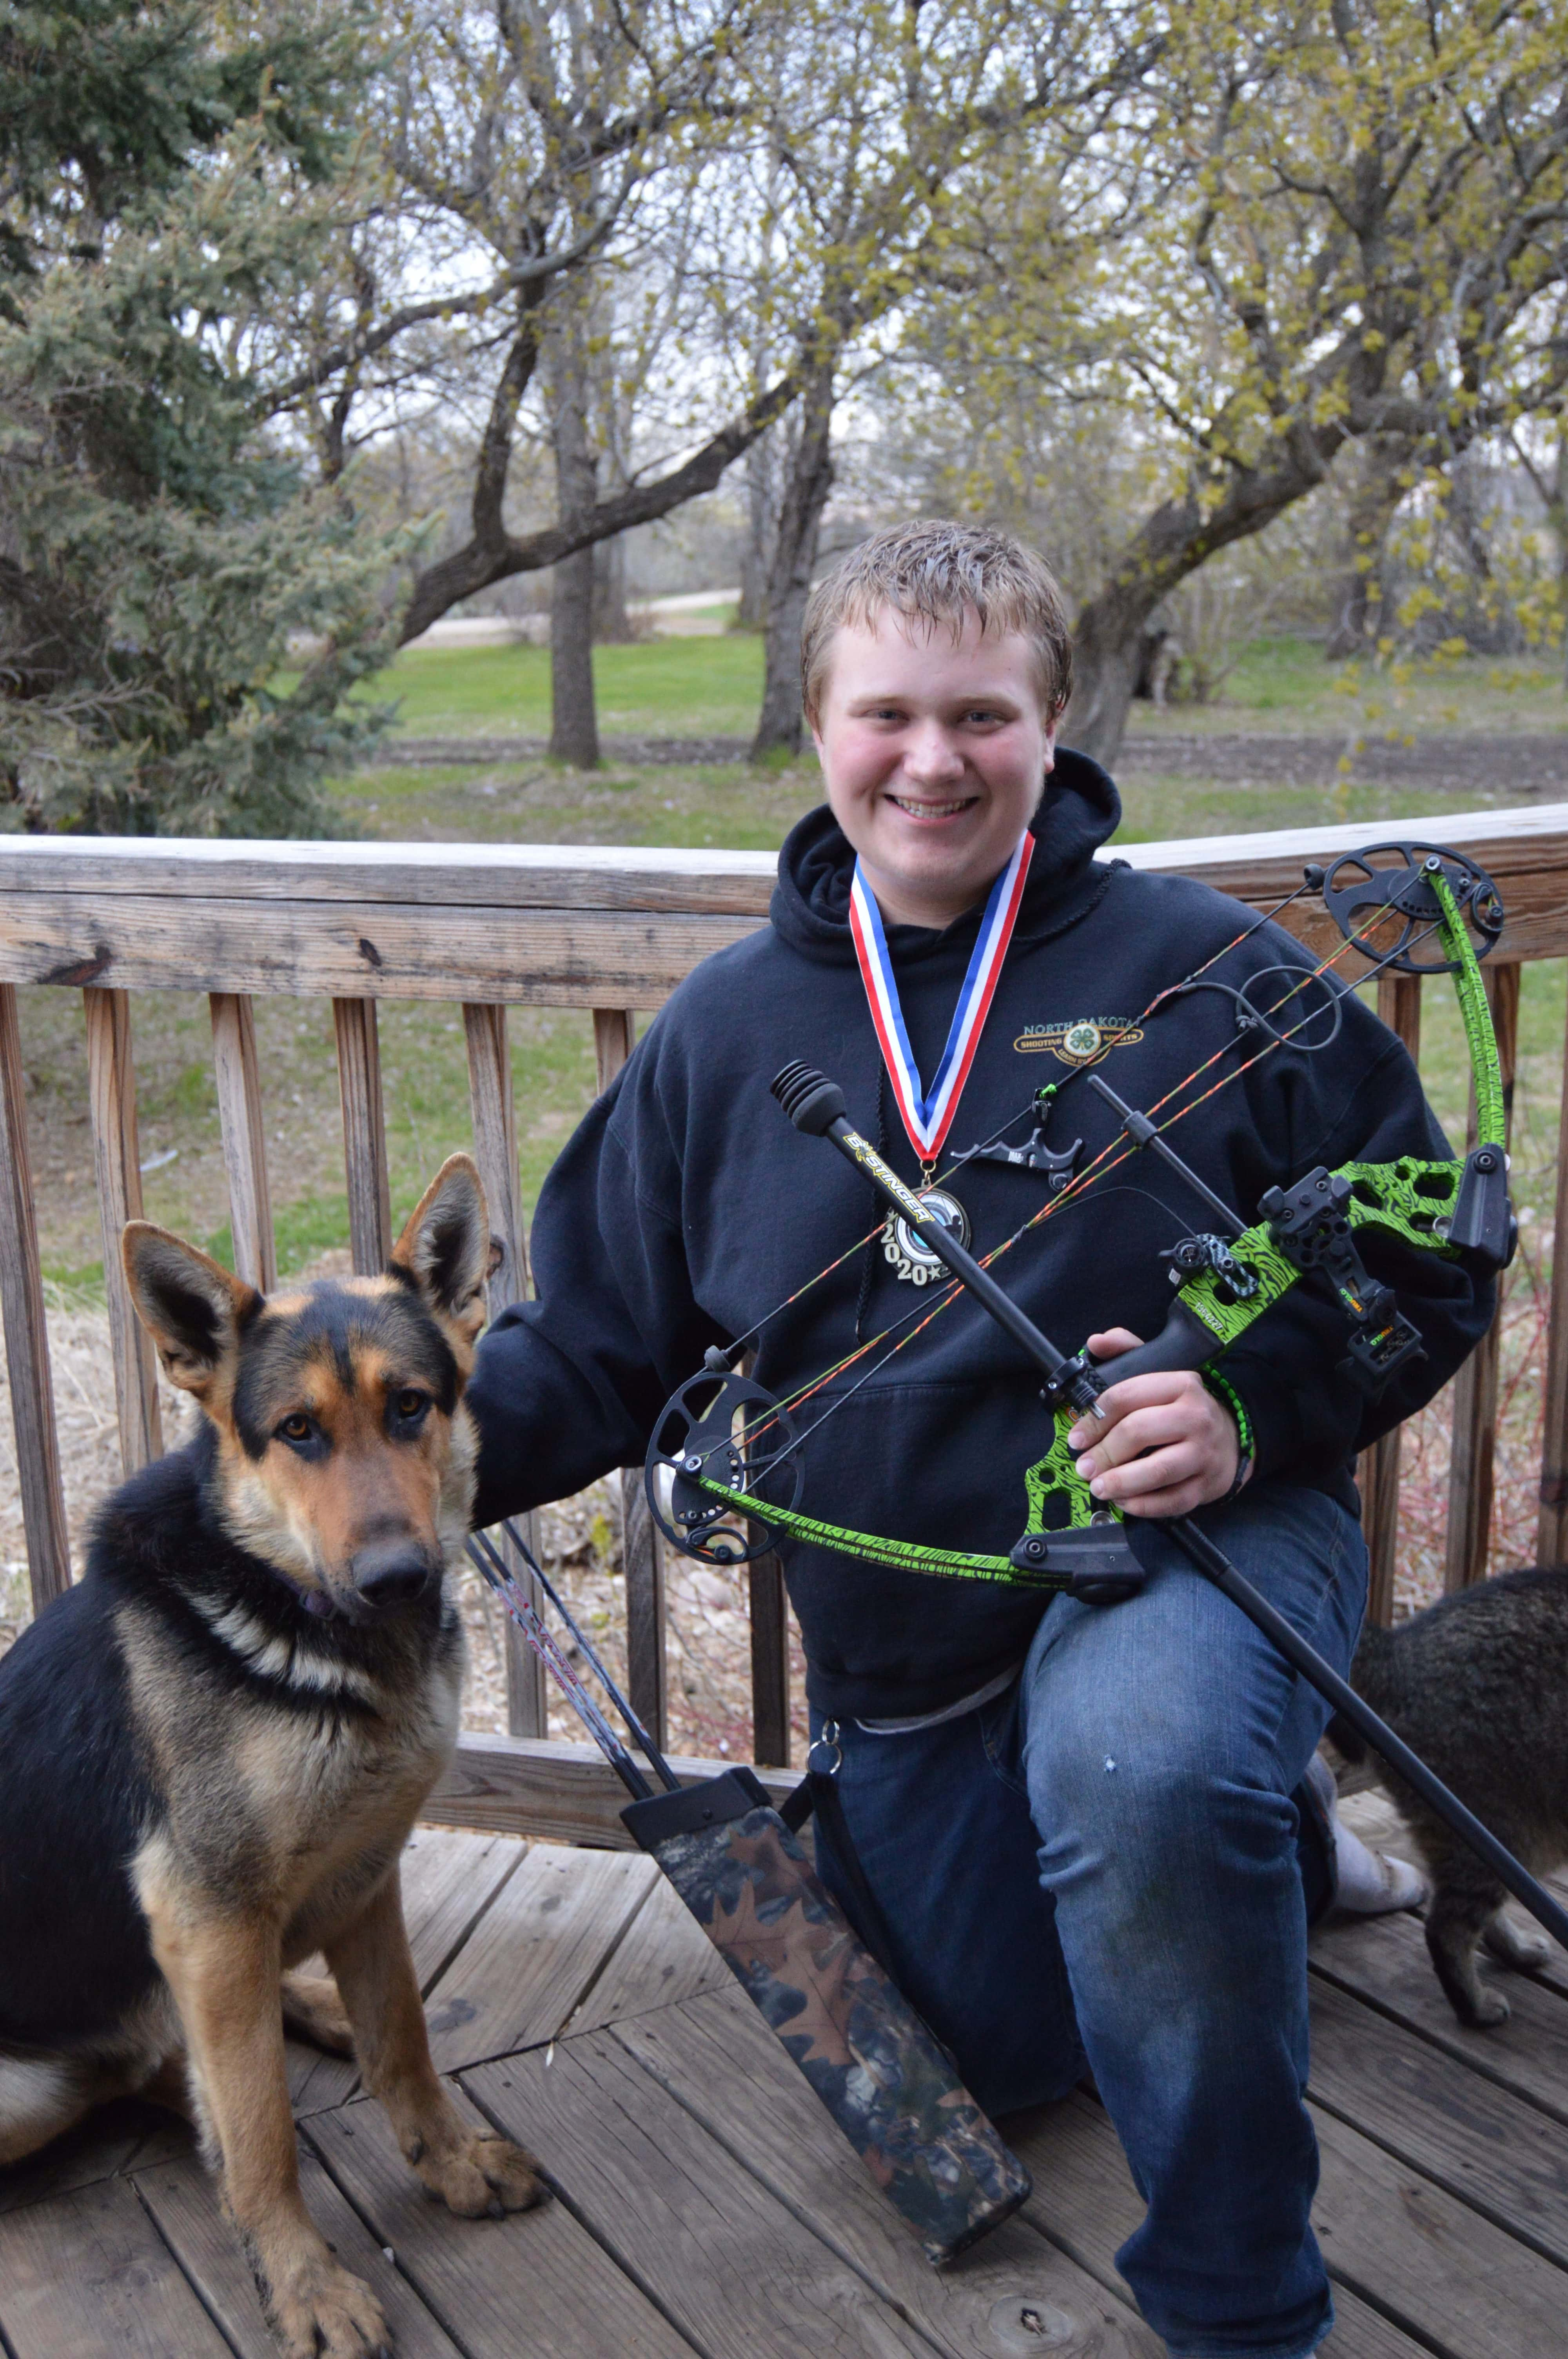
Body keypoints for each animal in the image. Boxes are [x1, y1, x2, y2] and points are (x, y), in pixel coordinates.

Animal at [0, 1160, 544, 2359]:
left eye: (410, 1406)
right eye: (296, 1430)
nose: (395, 1579)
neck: (294, 1618)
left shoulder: (367, 1875)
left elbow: (403, 2041)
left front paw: (447, 2161)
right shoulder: (205, 1910)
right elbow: (260, 2133)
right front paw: (302, 2283)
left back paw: (308, 2007)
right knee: (185, 2070)